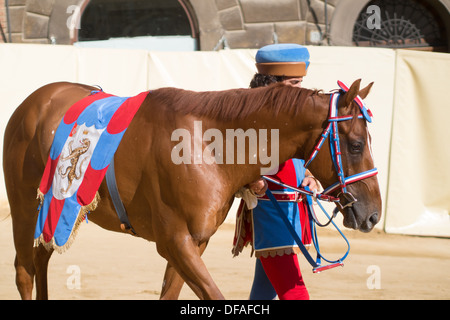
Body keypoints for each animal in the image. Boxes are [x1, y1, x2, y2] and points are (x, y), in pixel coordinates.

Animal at [5, 79, 382, 298]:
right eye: (355, 144)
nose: (373, 214)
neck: (207, 146)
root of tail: (34, 102)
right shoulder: (175, 241)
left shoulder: (194, 243)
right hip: (25, 209)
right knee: (24, 271)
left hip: (54, 210)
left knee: (40, 258)